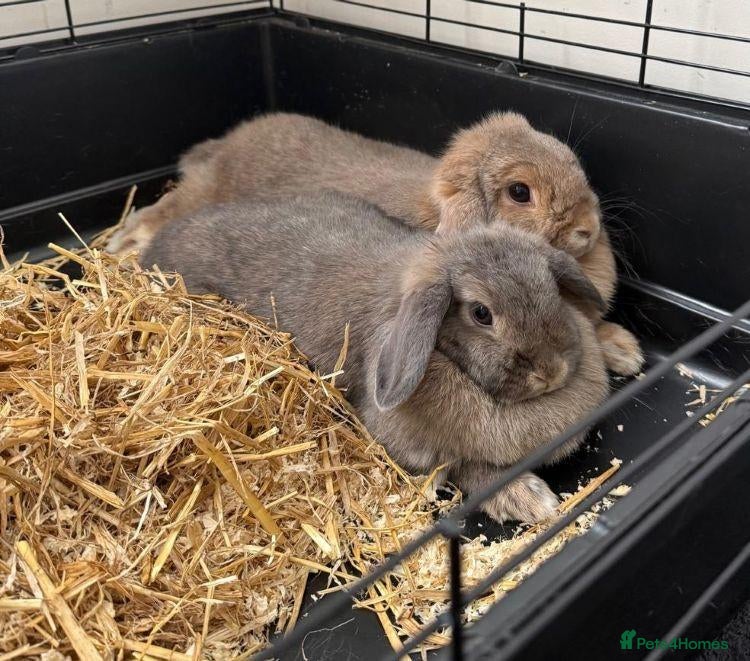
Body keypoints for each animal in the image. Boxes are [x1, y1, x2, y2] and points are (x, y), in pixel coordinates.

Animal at [108, 112, 643, 377]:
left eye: (566, 154)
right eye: (519, 193)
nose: (588, 227)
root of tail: (224, 147)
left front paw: (625, 352)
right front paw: (625, 352)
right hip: (196, 198)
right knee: (154, 214)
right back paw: (118, 248)